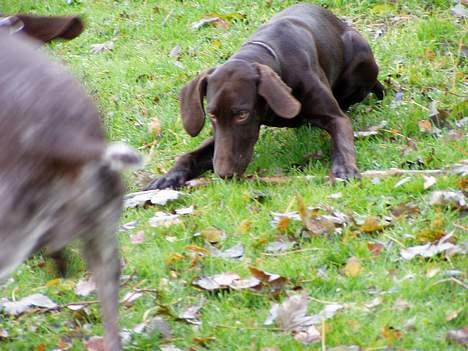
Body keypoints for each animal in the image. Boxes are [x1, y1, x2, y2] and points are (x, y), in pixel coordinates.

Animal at [144, 3, 382, 190]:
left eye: (242, 114)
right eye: (211, 115)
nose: (223, 174)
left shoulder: (336, 117)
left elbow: (343, 142)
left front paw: (345, 167)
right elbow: (189, 155)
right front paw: (168, 176)